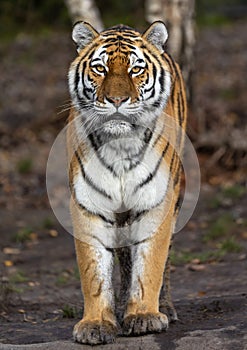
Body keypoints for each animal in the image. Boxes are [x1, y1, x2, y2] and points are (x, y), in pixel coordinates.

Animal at [66, 20, 186, 346]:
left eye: (135, 69)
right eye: (100, 68)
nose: (117, 101)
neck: (120, 145)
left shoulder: (157, 201)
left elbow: (151, 261)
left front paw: (145, 316)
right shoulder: (88, 204)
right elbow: (94, 269)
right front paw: (95, 324)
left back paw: (165, 308)